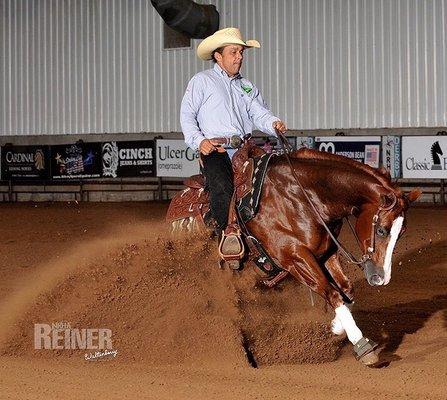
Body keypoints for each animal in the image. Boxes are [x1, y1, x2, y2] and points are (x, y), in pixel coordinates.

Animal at [168, 148, 420, 366]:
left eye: (402, 232)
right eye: (382, 230)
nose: (381, 278)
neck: (302, 196)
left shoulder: (326, 252)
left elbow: (345, 290)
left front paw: (336, 326)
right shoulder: (295, 258)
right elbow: (331, 292)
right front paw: (361, 344)